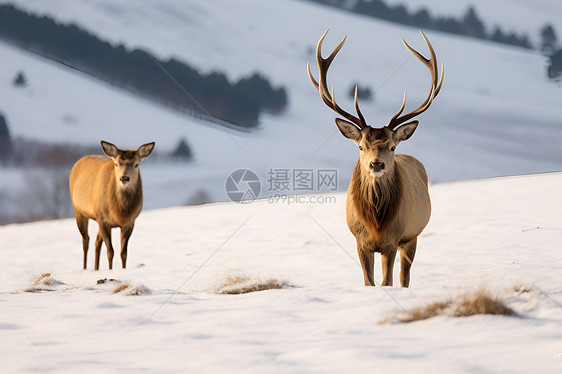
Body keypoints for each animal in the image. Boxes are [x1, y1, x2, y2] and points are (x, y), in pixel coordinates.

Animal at [69, 140, 154, 268]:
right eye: (116, 164)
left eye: (136, 164)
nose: (124, 178)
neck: (120, 212)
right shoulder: (103, 219)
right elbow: (110, 251)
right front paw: (110, 270)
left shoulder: (130, 222)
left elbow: (123, 253)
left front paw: (123, 269)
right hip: (79, 211)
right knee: (86, 240)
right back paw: (84, 268)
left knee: (97, 241)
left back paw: (96, 269)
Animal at [306, 30, 442, 286]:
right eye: (361, 146)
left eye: (392, 146)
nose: (376, 164)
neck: (376, 224)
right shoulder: (360, 241)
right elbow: (368, 282)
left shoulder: (393, 239)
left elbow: (387, 281)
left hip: (412, 235)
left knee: (405, 277)